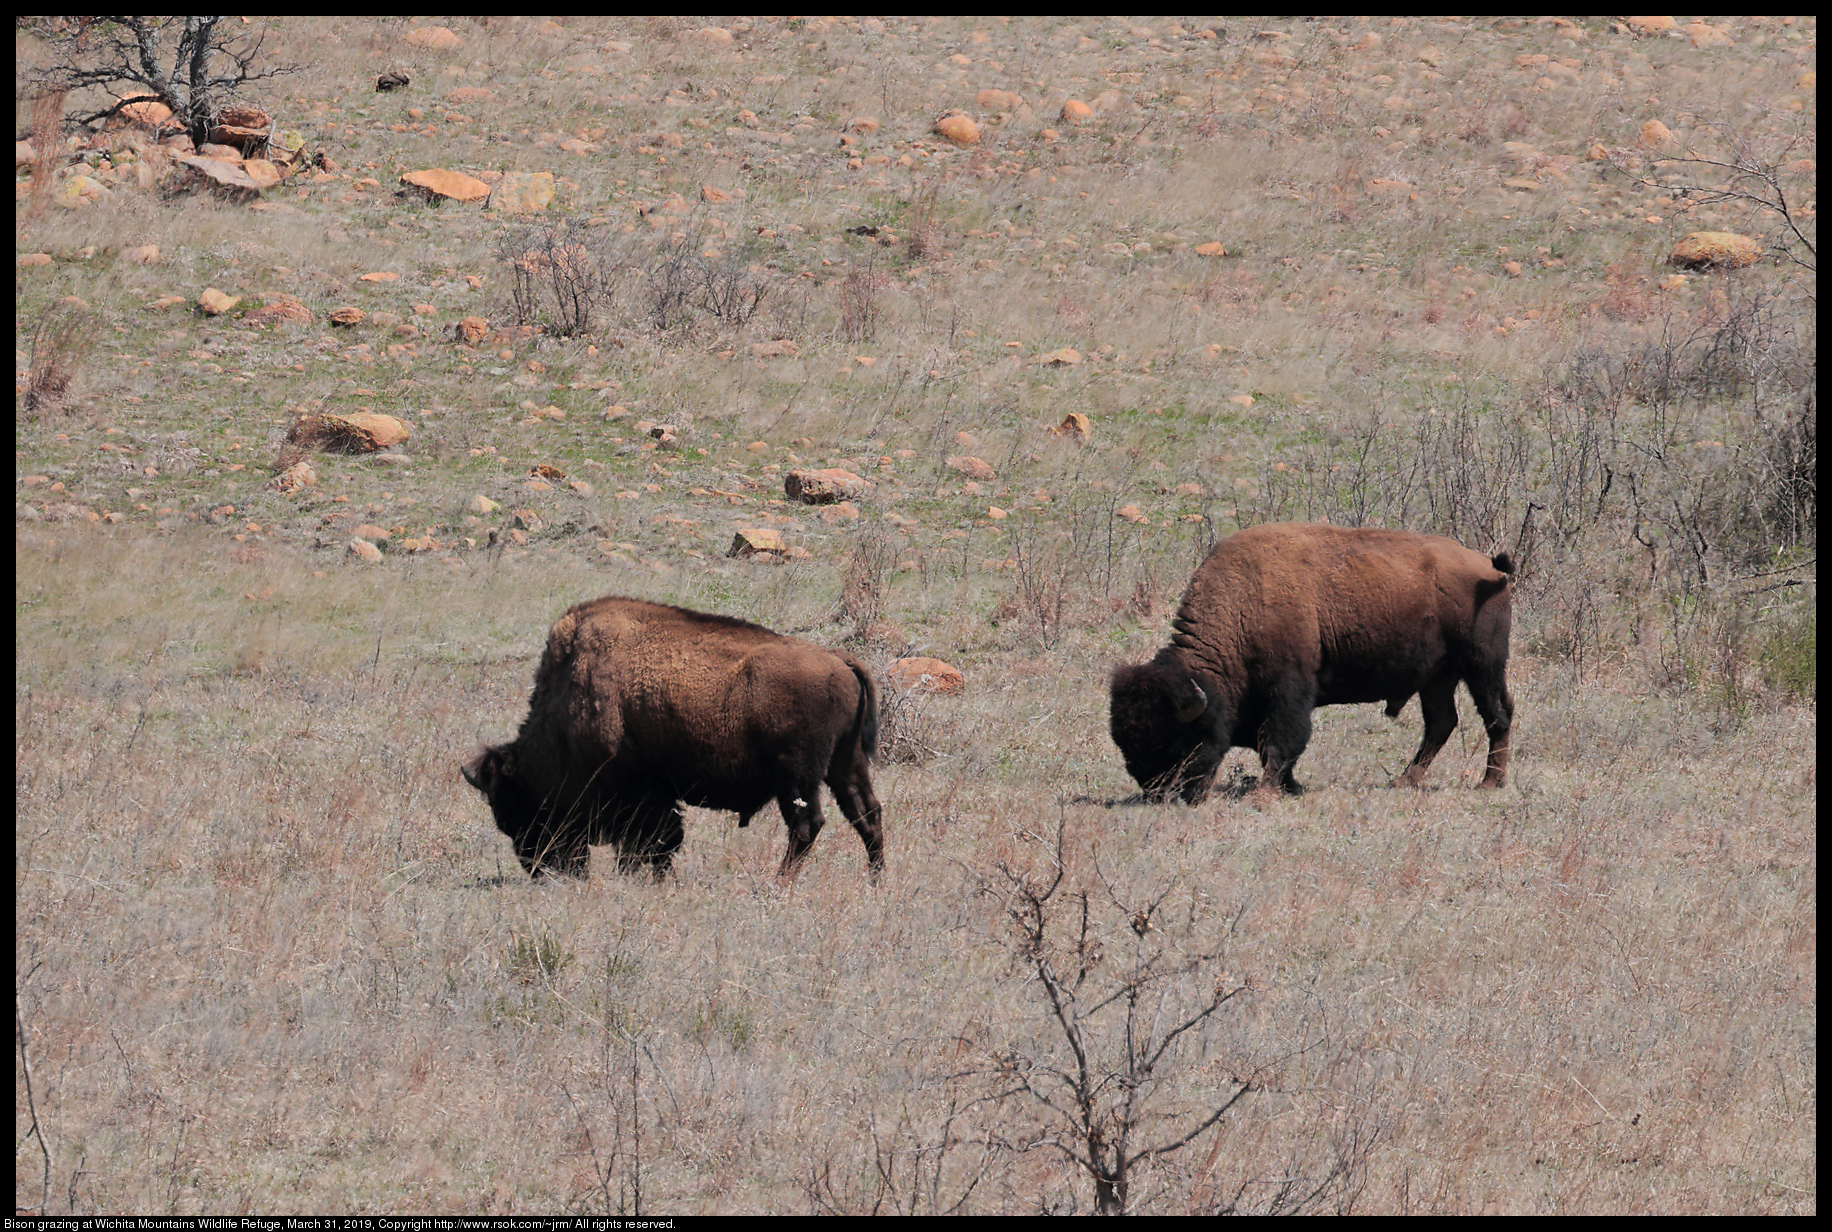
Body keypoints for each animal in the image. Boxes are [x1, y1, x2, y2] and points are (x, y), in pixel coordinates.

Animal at [461, 594, 883, 876]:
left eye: (516, 807)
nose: (538, 869)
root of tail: (839, 659)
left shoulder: (641, 794)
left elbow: (654, 842)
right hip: (844, 764)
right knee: (867, 815)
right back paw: (875, 880)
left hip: (797, 775)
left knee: (807, 825)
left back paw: (779, 883)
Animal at [1113, 524, 1516, 803]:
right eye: (1127, 743)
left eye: (1177, 739)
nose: (1159, 793)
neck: (1243, 606)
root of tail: (1491, 569)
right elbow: (1272, 746)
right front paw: (1290, 787)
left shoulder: (1288, 691)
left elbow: (1279, 741)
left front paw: (1267, 794)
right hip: (1437, 677)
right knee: (1441, 723)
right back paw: (1405, 780)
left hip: (1482, 665)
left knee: (1497, 715)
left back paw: (1489, 783)